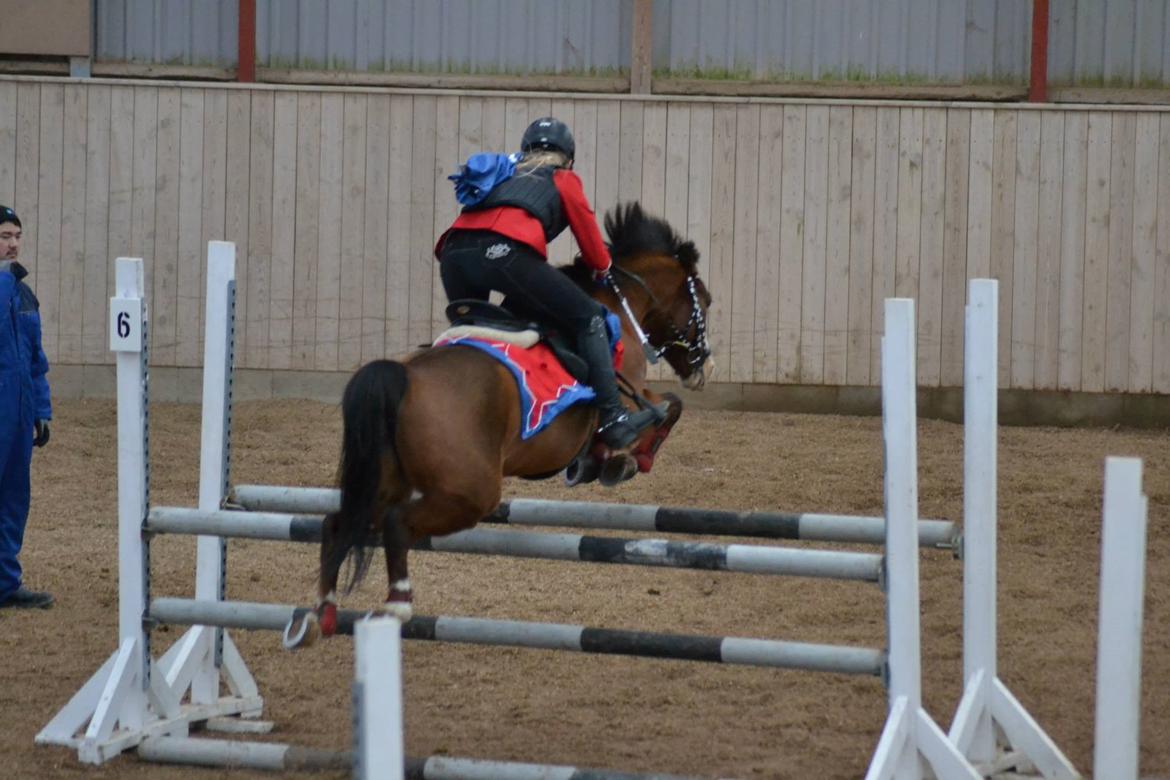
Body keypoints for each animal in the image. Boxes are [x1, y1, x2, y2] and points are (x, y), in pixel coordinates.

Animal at [283, 202, 713, 648]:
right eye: (706, 301)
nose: (703, 368)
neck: (618, 307)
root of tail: (402, 375)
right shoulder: (631, 395)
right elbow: (667, 408)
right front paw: (627, 459)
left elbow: (667, 408)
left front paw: (599, 462)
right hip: (469, 493)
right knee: (396, 525)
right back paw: (396, 604)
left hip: (386, 481)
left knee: (338, 523)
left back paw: (320, 613)